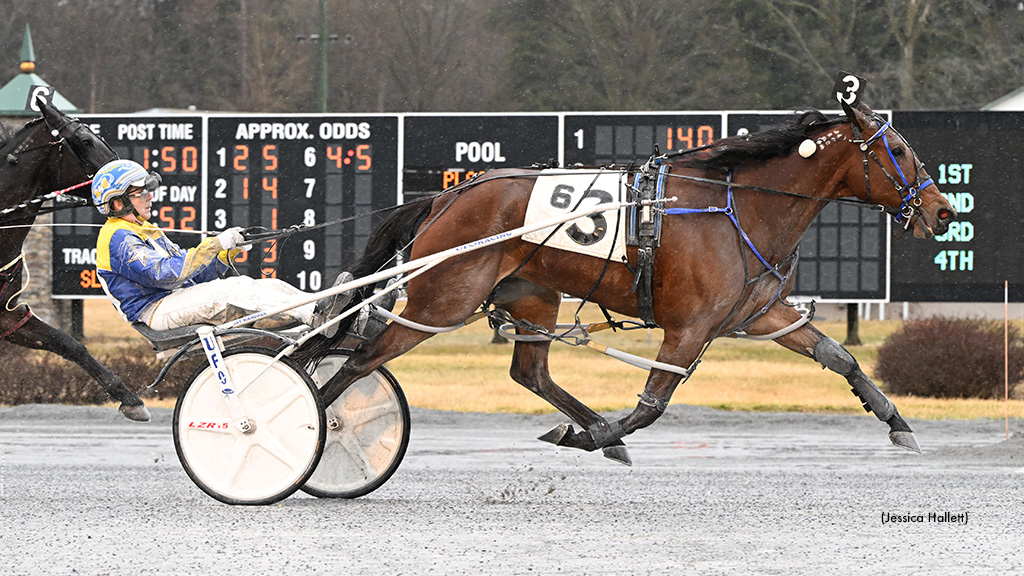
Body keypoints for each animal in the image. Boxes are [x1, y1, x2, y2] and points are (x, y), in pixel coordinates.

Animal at [315, 98, 956, 464]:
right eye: (899, 151)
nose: (943, 210)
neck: (738, 206)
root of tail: (446, 196)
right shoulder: (689, 327)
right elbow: (653, 404)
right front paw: (588, 438)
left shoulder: (757, 313)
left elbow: (838, 357)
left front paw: (898, 424)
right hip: (442, 300)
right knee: (358, 362)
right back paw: (315, 424)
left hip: (531, 294)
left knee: (530, 373)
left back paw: (596, 425)